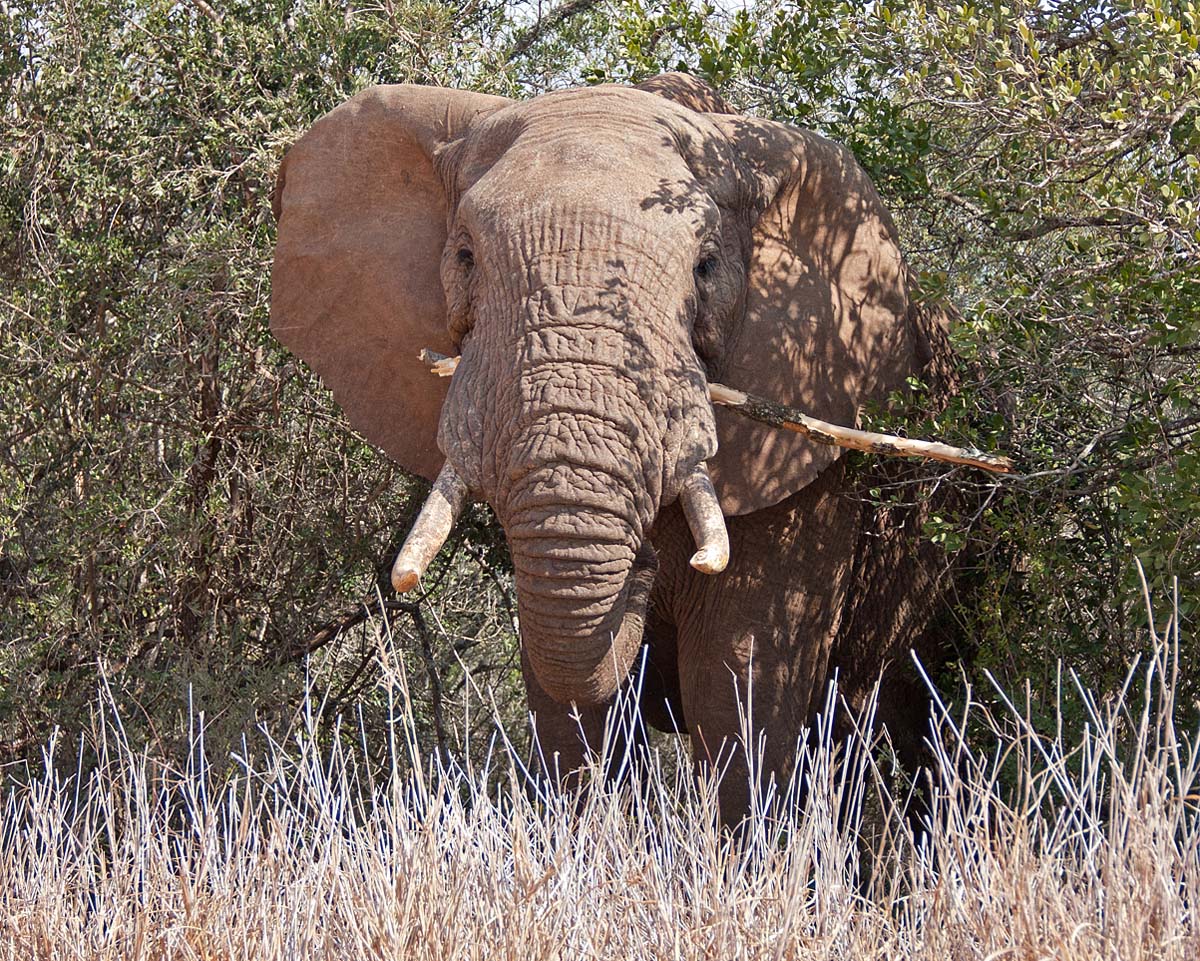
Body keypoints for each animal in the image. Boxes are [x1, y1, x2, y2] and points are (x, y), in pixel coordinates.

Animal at [269, 73, 963, 823]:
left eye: (706, 267)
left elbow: (742, 682)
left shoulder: (811, 467)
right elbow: (567, 695)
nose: (644, 566)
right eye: (464, 258)